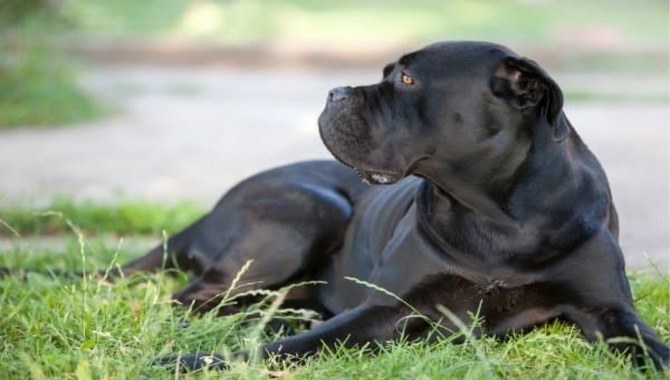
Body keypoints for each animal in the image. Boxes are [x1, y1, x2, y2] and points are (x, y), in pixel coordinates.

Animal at [68, 40, 670, 368]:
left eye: (406, 78)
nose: (334, 91)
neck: (497, 217)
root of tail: (207, 212)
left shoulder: (608, 311)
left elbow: (651, 346)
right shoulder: (387, 308)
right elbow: (293, 347)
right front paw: (195, 361)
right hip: (309, 213)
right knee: (190, 299)